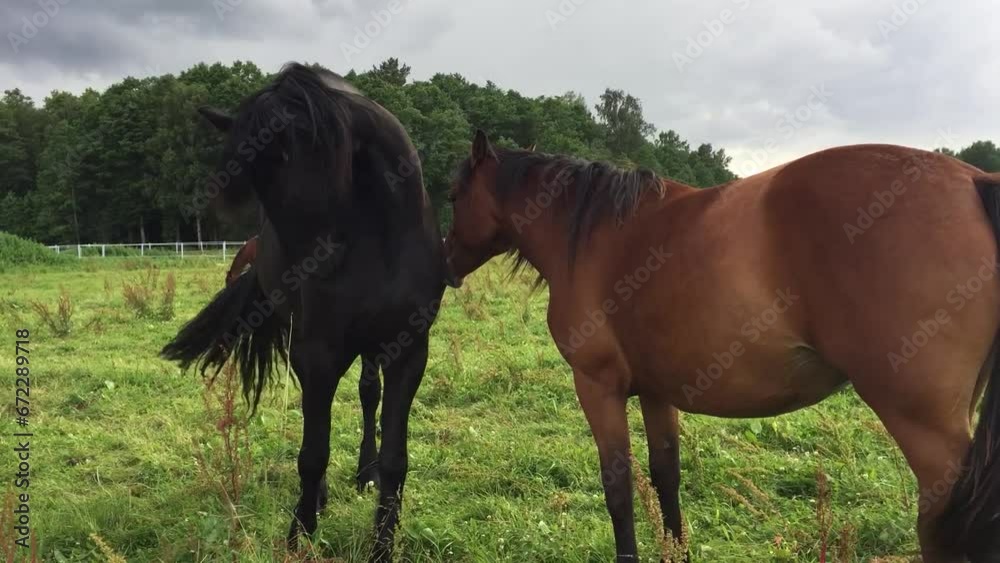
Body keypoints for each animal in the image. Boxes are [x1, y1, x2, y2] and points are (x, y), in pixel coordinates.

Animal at [443, 130, 1000, 563]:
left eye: (451, 196)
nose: (444, 266)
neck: (593, 235)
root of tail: (973, 182)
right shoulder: (656, 391)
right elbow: (665, 476)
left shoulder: (597, 386)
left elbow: (618, 488)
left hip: (925, 432)